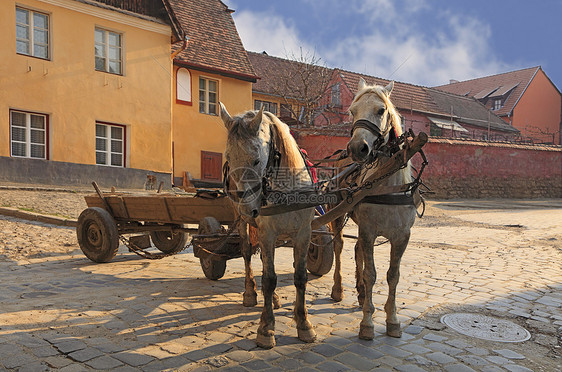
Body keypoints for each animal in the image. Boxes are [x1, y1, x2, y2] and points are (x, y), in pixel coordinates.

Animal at [218, 102, 316, 348]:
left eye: (256, 159)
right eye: (229, 158)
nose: (249, 208)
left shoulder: (303, 233)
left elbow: (300, 276)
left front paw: (304, 324)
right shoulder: (267, 233)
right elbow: (270, 278)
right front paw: (266, 327)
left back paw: (274, 299)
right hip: (244, 224)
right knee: (247, 254)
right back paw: (251, 293)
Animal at [328, 77, 416, 340]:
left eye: (381, 110)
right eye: (351, 111)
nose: (357, 148)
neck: (387, 185)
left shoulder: (402, 237)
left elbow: (393, 276)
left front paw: (392, 319)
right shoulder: (369, 231)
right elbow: (372, 274)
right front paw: (367, 322)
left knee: (357, 250)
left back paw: (359, 292)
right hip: (338, 215)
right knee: (339, 246)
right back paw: (339, 289)